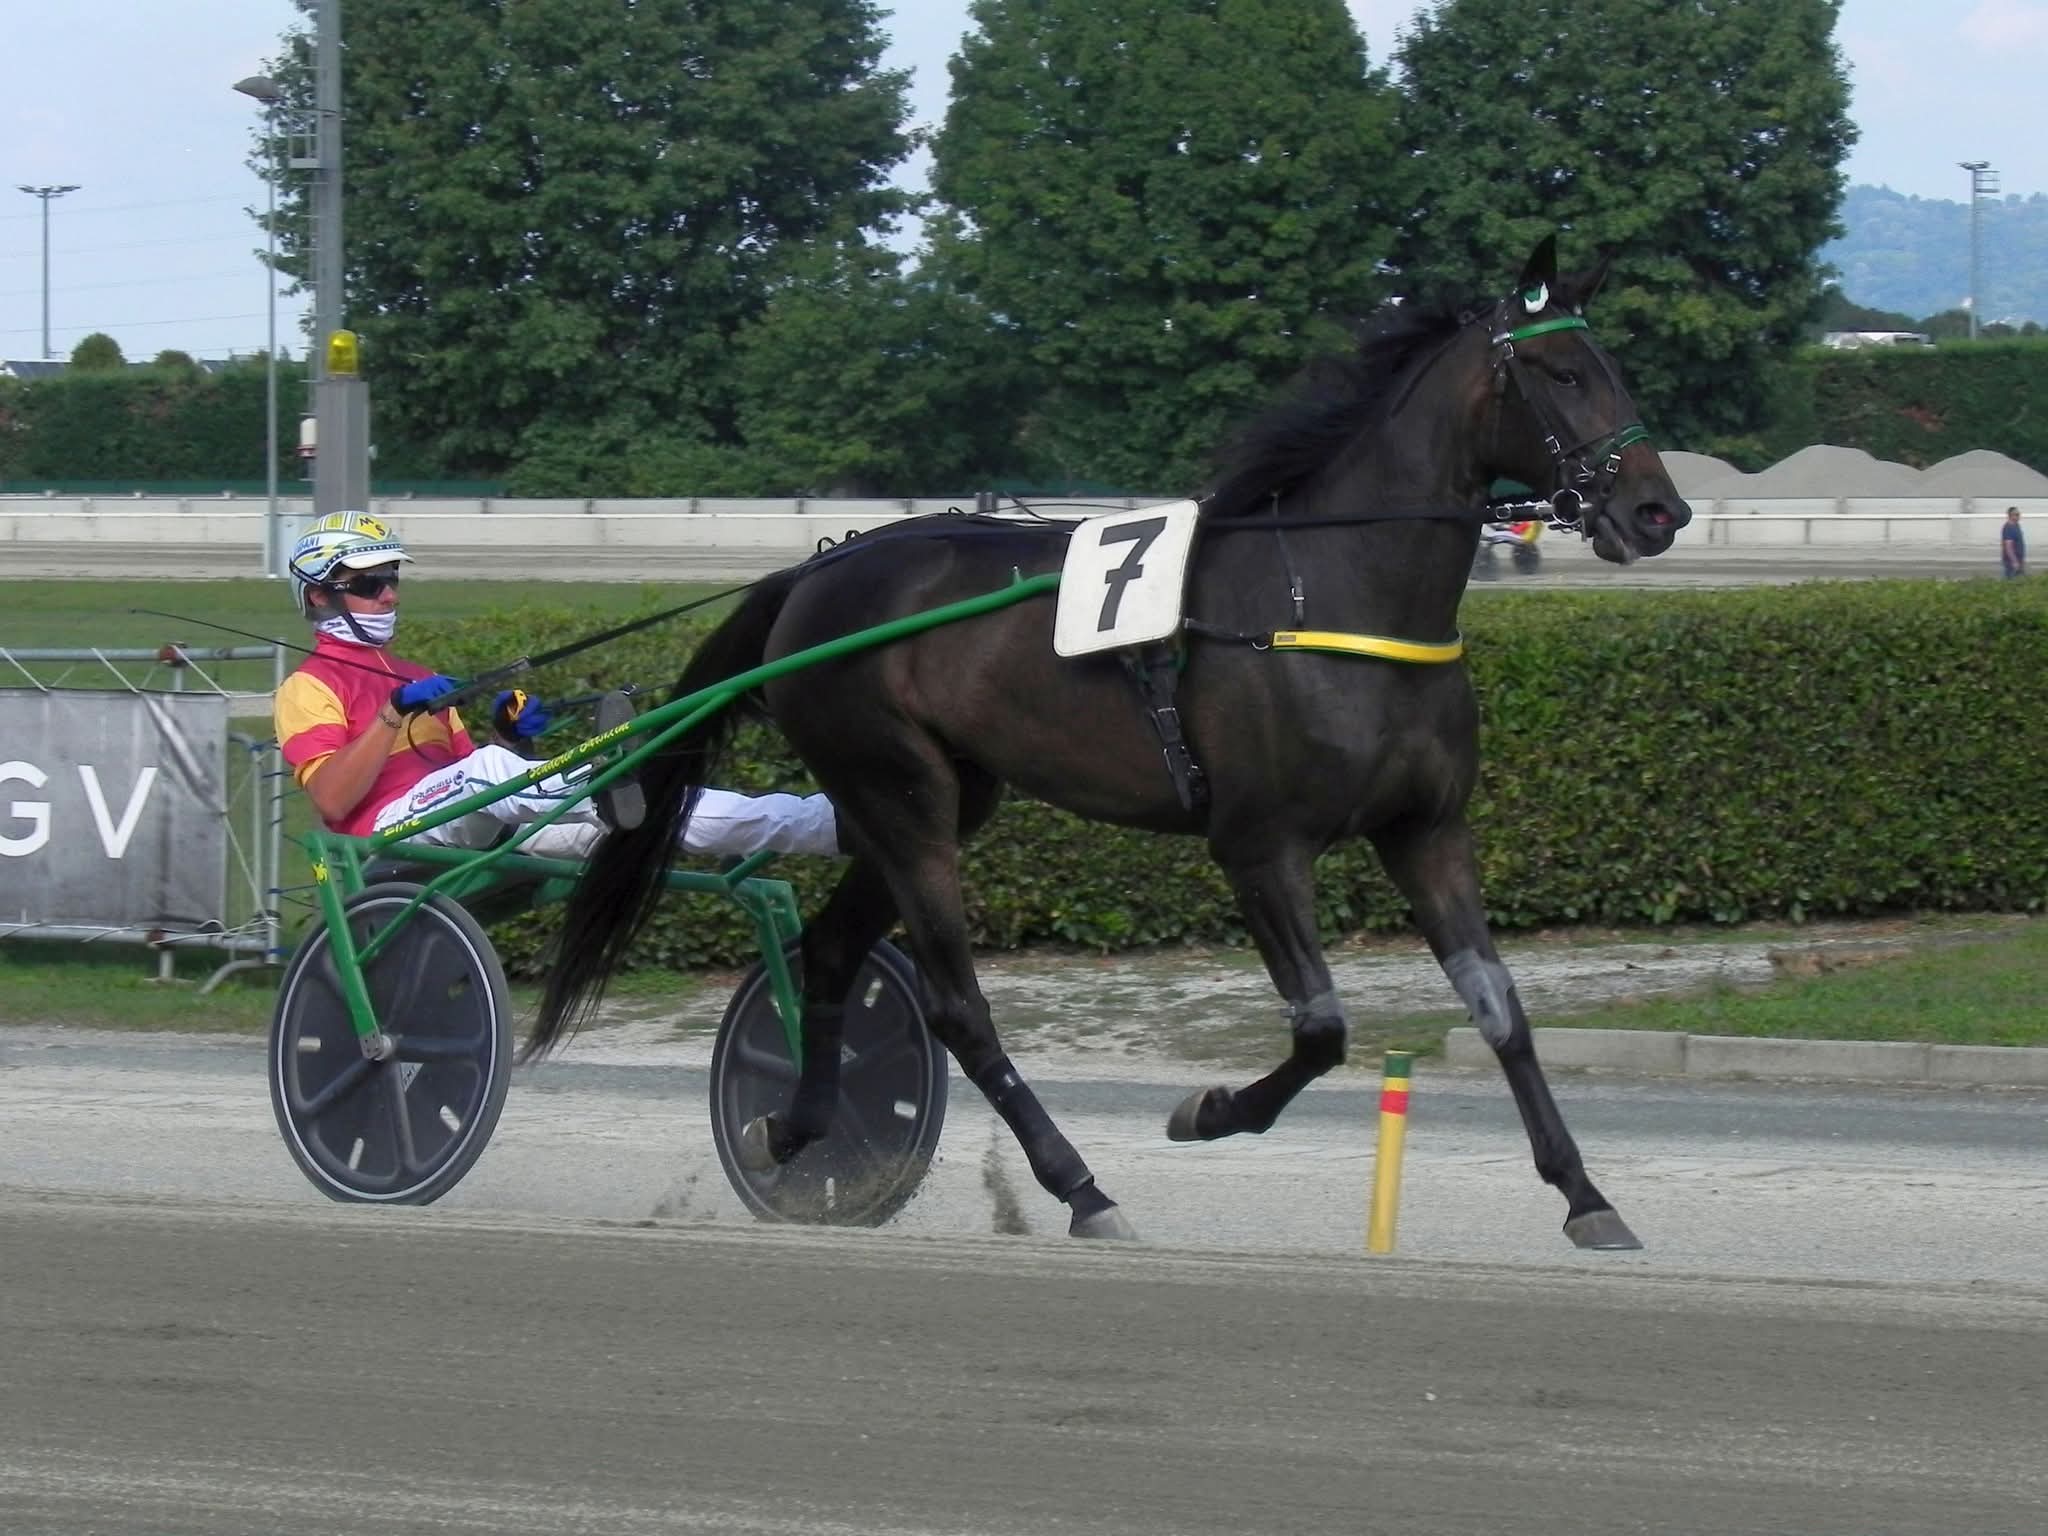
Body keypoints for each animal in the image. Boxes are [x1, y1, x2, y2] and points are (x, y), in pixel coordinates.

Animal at [527, 235, 1691, 1248]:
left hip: (938, 795)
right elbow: (1320, 1027)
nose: (1657, 510)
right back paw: (1079, 1185)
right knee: (954, 1004)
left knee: (829, 949)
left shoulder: (1427, 831)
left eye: (1614, 367)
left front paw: (1586, 1196)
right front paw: (1208, 1110)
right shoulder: (1258, 846)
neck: (1332, 592)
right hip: (898, 795)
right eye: (1558, 372)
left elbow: (1502, 1012)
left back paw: (800, 1131)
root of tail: (813, 573)